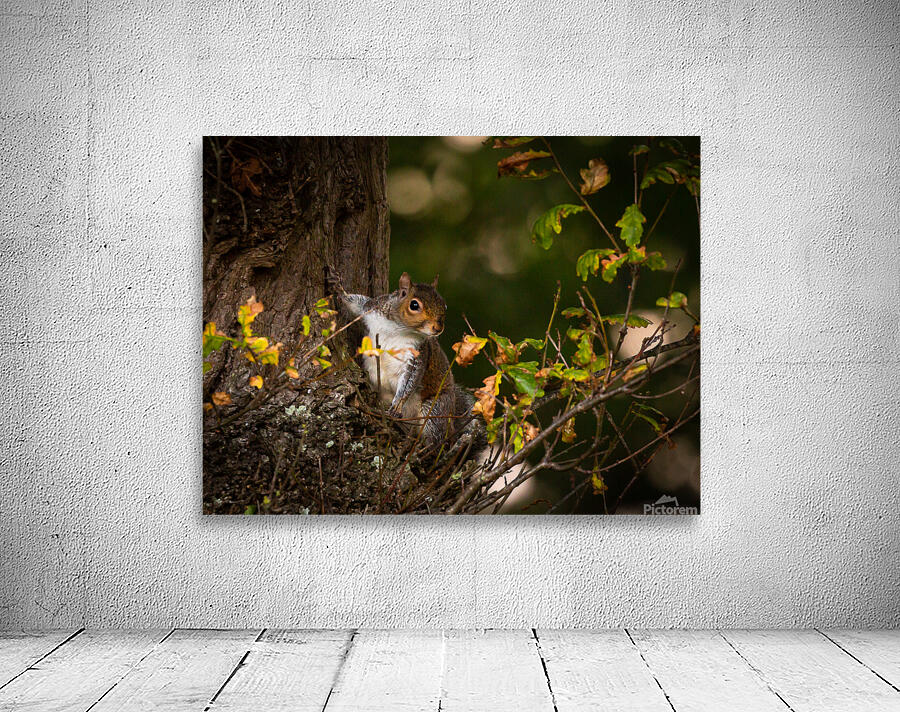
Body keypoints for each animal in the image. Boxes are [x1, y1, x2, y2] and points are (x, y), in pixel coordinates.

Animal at [327, 269, 479, 449]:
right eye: (414, 305)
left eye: (444, 305)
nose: (438, 328)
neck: (399, 328)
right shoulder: (373, 308)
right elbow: (357, 304)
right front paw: (338, 287)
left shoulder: (417, 355)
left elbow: (409, 381)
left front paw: (398, 404)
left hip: (435, 408)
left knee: (435, 435)